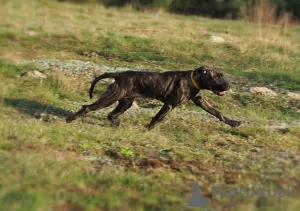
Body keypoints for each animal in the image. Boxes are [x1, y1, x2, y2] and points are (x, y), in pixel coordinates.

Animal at [66, 66, 241, 129]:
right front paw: (148, 129)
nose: (228, 86)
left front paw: (233, 123)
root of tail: (118, 75)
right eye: (217, 77)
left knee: (111, 114)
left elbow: (218, 113)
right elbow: (158, 118)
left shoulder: (201, 102)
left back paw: (116, 123)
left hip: (125, 102)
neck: (193, 80)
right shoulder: (169, 105)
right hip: (111, 98)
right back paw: (70, 119)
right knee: (88, 107)